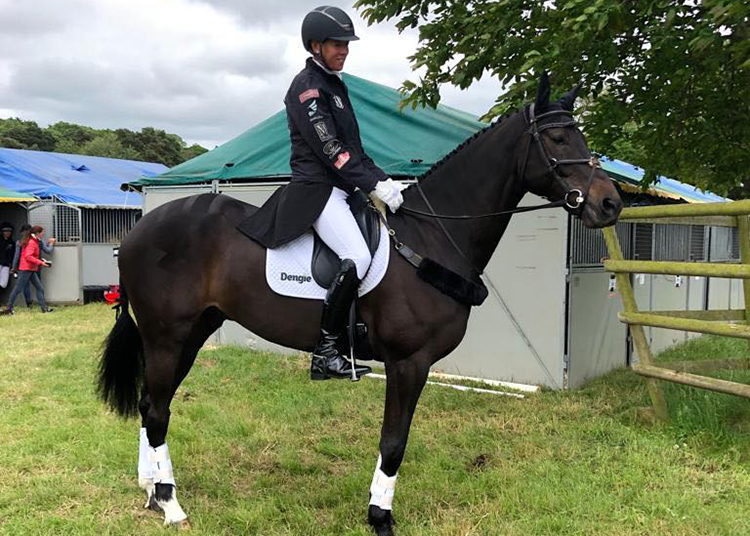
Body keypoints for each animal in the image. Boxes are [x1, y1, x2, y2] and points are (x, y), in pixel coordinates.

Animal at [98, 72, 624, 536]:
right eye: (557, 137)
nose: (611, 204)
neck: (432, 237)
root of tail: (138, 231)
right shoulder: (409, 362)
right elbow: (394, 442)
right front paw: (379, 517)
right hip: (167, 335)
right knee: (157, 411)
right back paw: (171, 505)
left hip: (192, 332)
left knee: (152, 404)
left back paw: (152, 490)